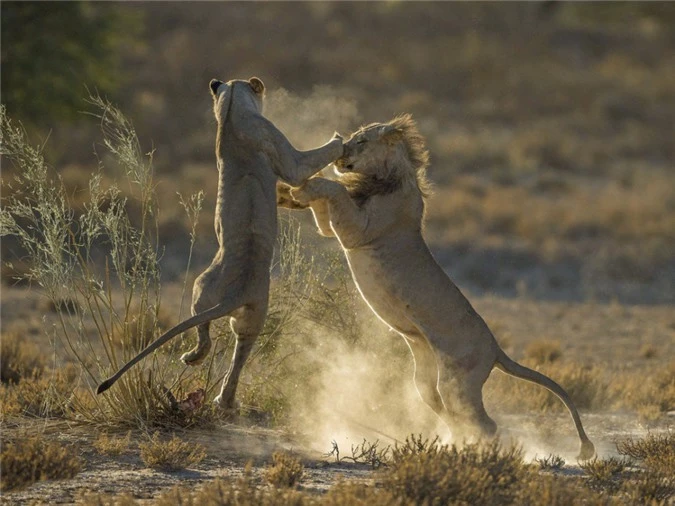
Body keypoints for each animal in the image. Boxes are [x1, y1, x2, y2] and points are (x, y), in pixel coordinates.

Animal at [97, 76, 344, 412]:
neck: (229, 112)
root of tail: (235, 294)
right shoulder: (286, 155)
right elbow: (307, 163)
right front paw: (339, 139)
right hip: (214, 292)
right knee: (212, 338)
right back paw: (203, 372)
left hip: (231, 305)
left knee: (222, 344)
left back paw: (215, 387)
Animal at [288, 113, 596, 458]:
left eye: (361, 141)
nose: (339, 156)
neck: (386, 175)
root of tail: (496, 348)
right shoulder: (334, 227)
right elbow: (324, 209)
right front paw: (299, 190)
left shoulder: (358, 231)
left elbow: (336, 190)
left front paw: (307, 184)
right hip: (426, 373)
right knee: (442, 406)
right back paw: (450, 441)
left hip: (458, 380)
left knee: (485, 423)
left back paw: (472, 450)